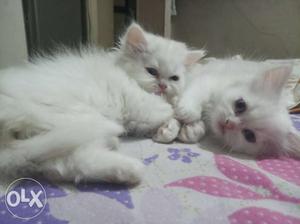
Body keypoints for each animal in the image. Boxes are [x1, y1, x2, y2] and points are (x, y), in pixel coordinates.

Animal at [0, 23, 204, 184]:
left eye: (174, 78)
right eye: (152, 71)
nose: (163, 86)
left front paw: (179, 130)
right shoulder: (141, 107)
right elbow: (172, 111)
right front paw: (188, 123)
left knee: (64, 166)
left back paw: (125, 169)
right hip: (76, 118)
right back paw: (130, 163)